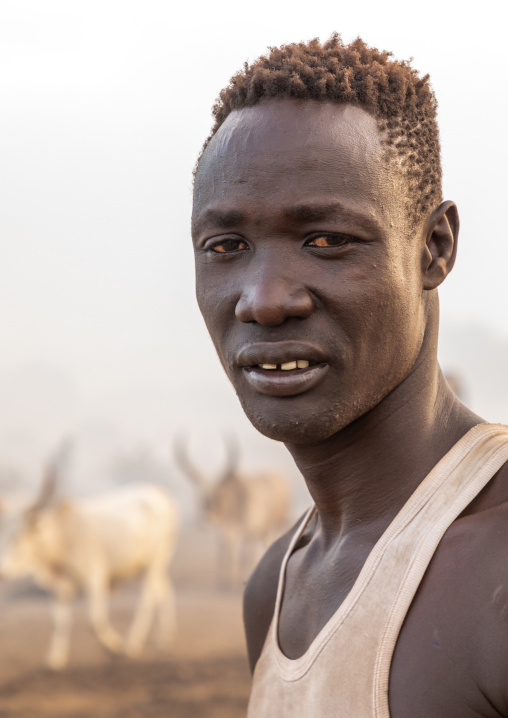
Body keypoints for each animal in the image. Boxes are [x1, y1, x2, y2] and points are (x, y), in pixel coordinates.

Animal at [0, 454, 180, 670]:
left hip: (154, 561)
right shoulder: (61, 586)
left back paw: (132, 644)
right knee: (164, 590)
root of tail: (159, 493)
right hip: (152, 565)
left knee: (148, 598)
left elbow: (94, 620)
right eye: (2, 532)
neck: (63, 533)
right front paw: (56, 657)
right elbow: (59, 621)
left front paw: (114, 645)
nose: (3, 572)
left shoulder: (94, 577)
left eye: (20, 534)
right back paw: (164, 640)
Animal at [174, 435, 290, 588]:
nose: (205, 521)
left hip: (270, 528)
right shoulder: (227, 532)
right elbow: (225, 552)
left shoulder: (248, 530)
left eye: (219, 498)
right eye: (201, 499)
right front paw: (223, 583)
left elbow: (243, 556)